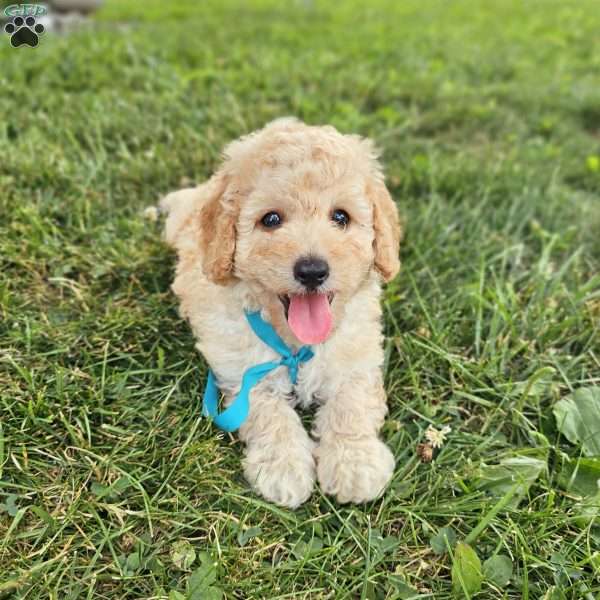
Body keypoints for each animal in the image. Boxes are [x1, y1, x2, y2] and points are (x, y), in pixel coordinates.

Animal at [162, 116, 400, 506]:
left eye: (341, 216)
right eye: (271, 219)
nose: (312, 270)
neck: (296, 343)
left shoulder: (356, 359)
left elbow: (351, 405)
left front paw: (355, 464)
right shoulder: (245, 372)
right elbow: (269, 415)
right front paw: (283, 469)